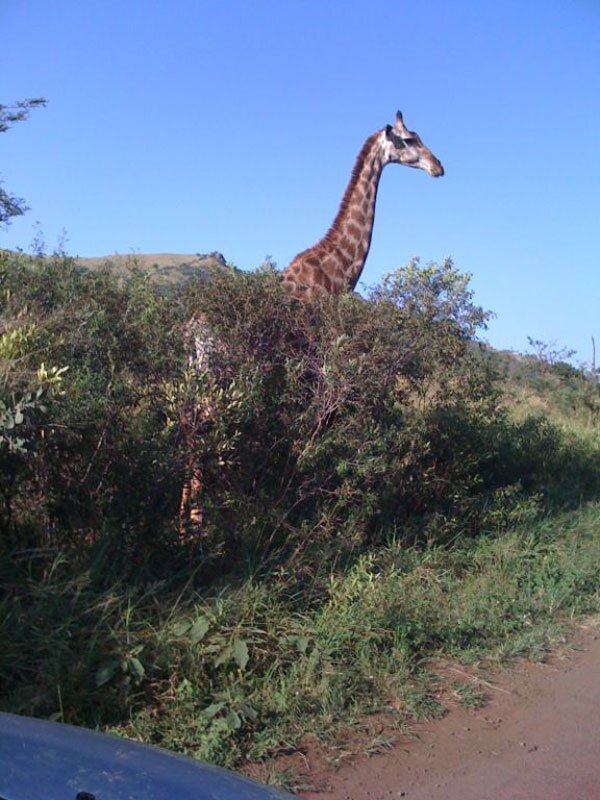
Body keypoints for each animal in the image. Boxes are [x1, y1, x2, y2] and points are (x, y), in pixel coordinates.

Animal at [178, 111, 440, 536]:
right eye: (408, 140)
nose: (439, 166)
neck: (337, 272)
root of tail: (193, 329)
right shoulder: (321, 363)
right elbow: (313, 432)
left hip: (195, 374)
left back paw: (182, 524)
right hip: (222, 372)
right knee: (205, 430)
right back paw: (199, 528)